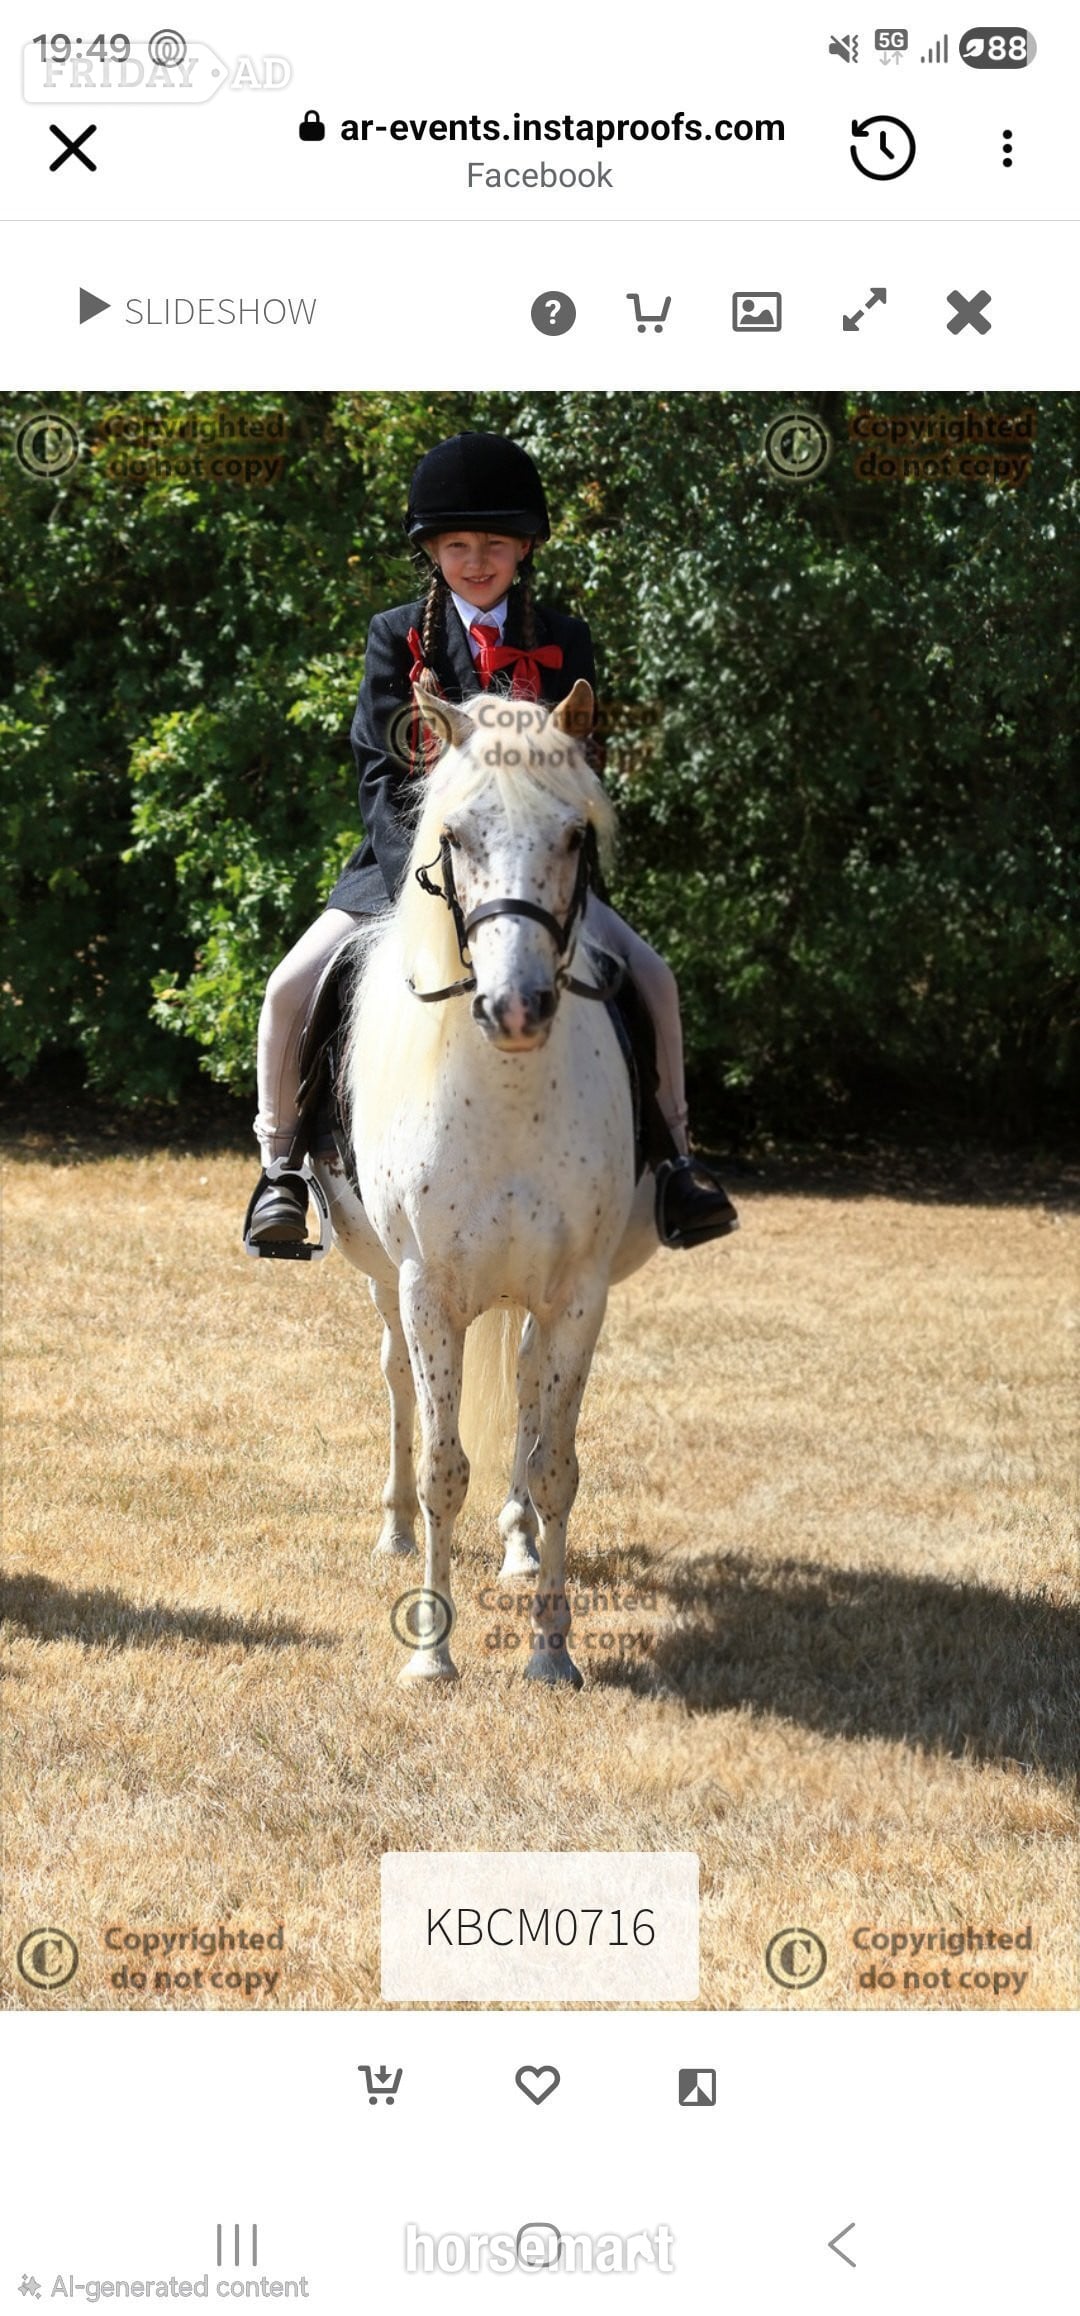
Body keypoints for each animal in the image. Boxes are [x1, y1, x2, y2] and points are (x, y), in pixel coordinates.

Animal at [312, 679, 658, 1689]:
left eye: (575, 834)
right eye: (454, 836)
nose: (515, 1008)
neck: (508, 1096)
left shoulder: (577, 1295)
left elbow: (554, 1465)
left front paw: (553, 1651)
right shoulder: (428, 1288)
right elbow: (441, 1464)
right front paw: (430, 1653)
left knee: (529, 1396)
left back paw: (518, 1549)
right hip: (386, 1281)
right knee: (396, 1382)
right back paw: (394, 1530)